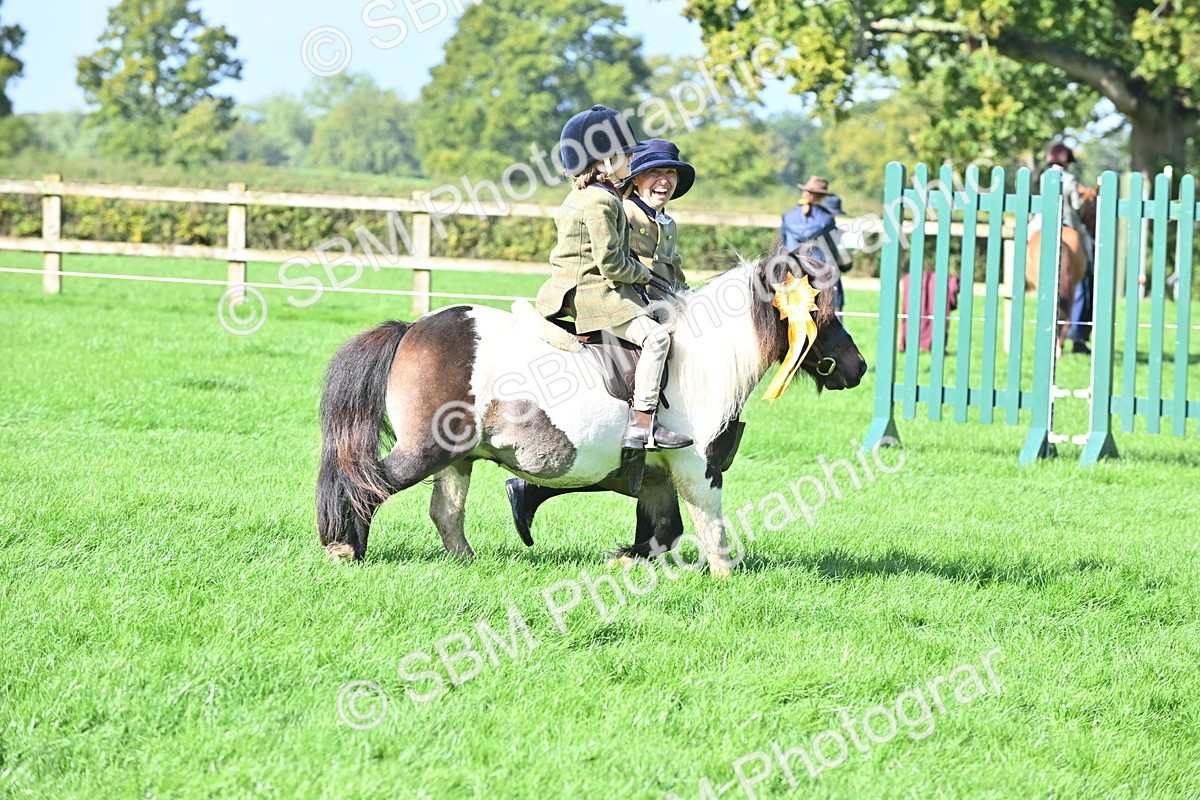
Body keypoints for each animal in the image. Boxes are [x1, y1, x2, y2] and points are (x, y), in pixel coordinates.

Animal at [315, 252, 867, 576]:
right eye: (820, 311)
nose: (858, 366)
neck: (703, 360)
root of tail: (412, 328)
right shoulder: (698, 469)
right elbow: (711, 528)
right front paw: (725, 576)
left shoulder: (657, 477)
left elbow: (662, 533)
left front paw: (627, 561)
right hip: (425, 450)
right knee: (367, 484)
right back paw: (345, 550)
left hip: (457, 458)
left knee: (446, 512)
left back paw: (467, 564)